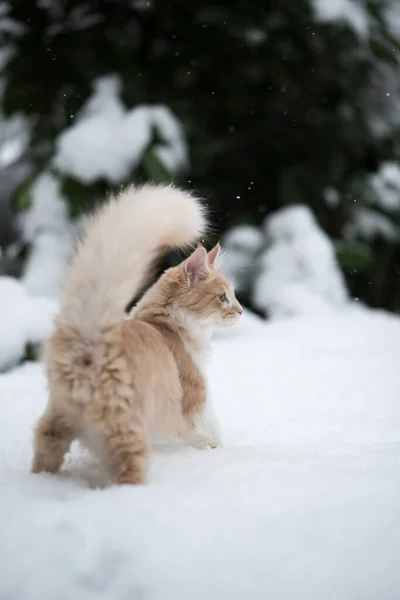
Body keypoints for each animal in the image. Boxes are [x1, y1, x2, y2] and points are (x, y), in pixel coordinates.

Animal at [31, 185, 242, 486]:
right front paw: (216, 450)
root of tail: (92, 333)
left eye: (233, 296)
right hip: (126, 426)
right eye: (223, 298)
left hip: (58, 418)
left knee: (44, 446)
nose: (241, 311)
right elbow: (210, 431)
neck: (166, 327)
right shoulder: (196, 396)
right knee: (129, 468)